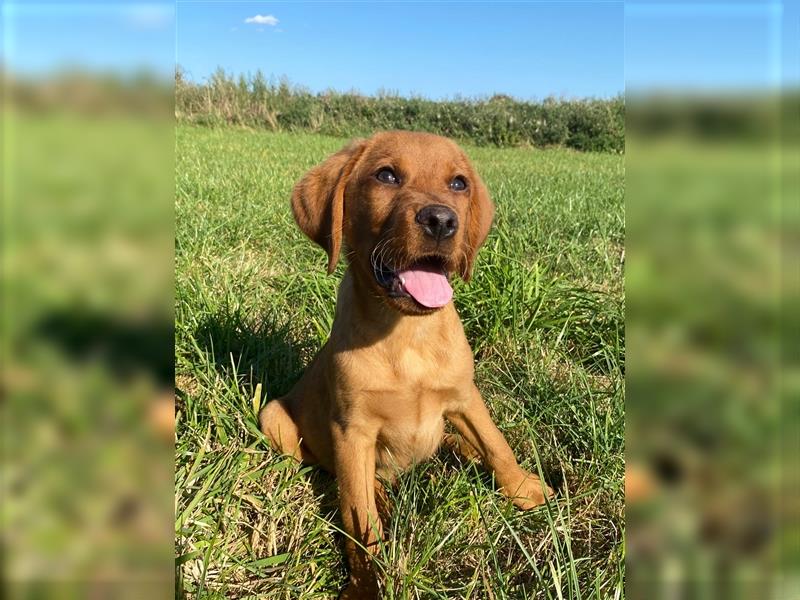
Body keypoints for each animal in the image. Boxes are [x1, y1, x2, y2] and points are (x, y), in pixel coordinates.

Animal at [260, 132, 552, 600]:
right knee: (345, 477)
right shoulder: (352, 432)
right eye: (387, 176)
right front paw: (366, 580)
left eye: (459, 183)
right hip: (274, 417)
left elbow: (497, 444)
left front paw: (525, 490)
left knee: (456, 444)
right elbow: (359, 515)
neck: (408, 335)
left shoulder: (465, 396)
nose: (441, 221)